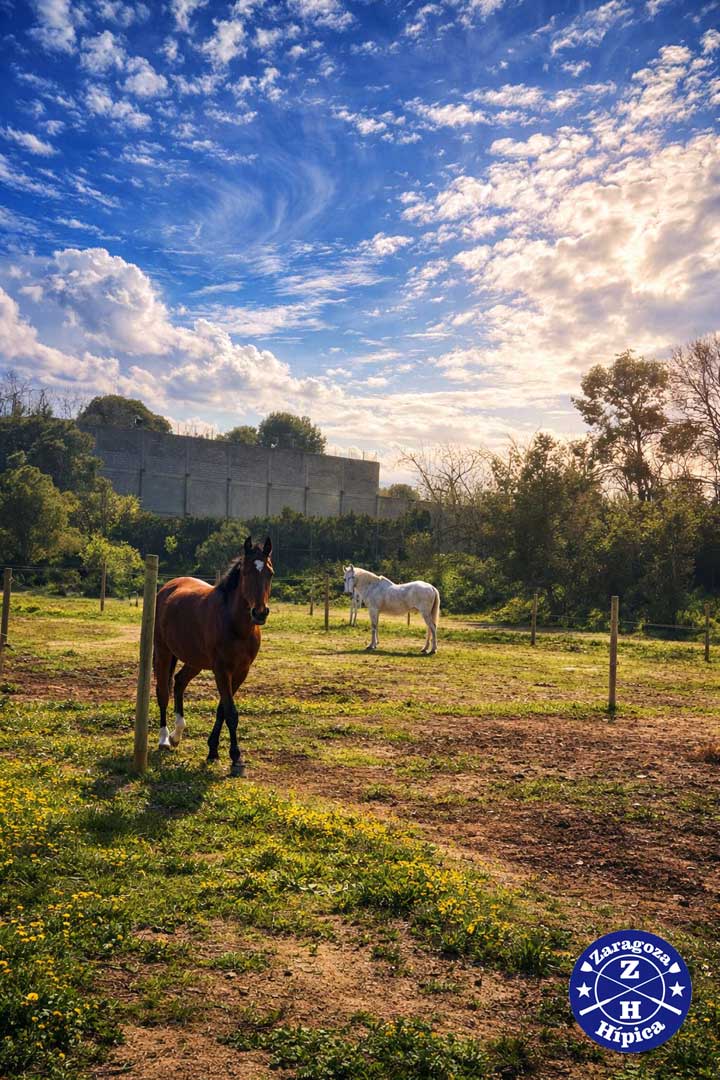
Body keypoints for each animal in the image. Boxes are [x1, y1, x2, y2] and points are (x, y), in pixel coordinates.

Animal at [153, 536, 273, 777]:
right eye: (246, 572)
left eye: (270, 573)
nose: (260, 612)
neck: (235, 624)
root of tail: (168, 588)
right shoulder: (221, 670)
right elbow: (231, 712)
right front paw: (236, 758)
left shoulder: (240, 672)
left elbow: (222, 710)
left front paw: (213, 751)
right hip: (163, 653)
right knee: (163, 692)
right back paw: (164, 739)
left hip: (194, 661)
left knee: (179, 682)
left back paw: (177, 734)